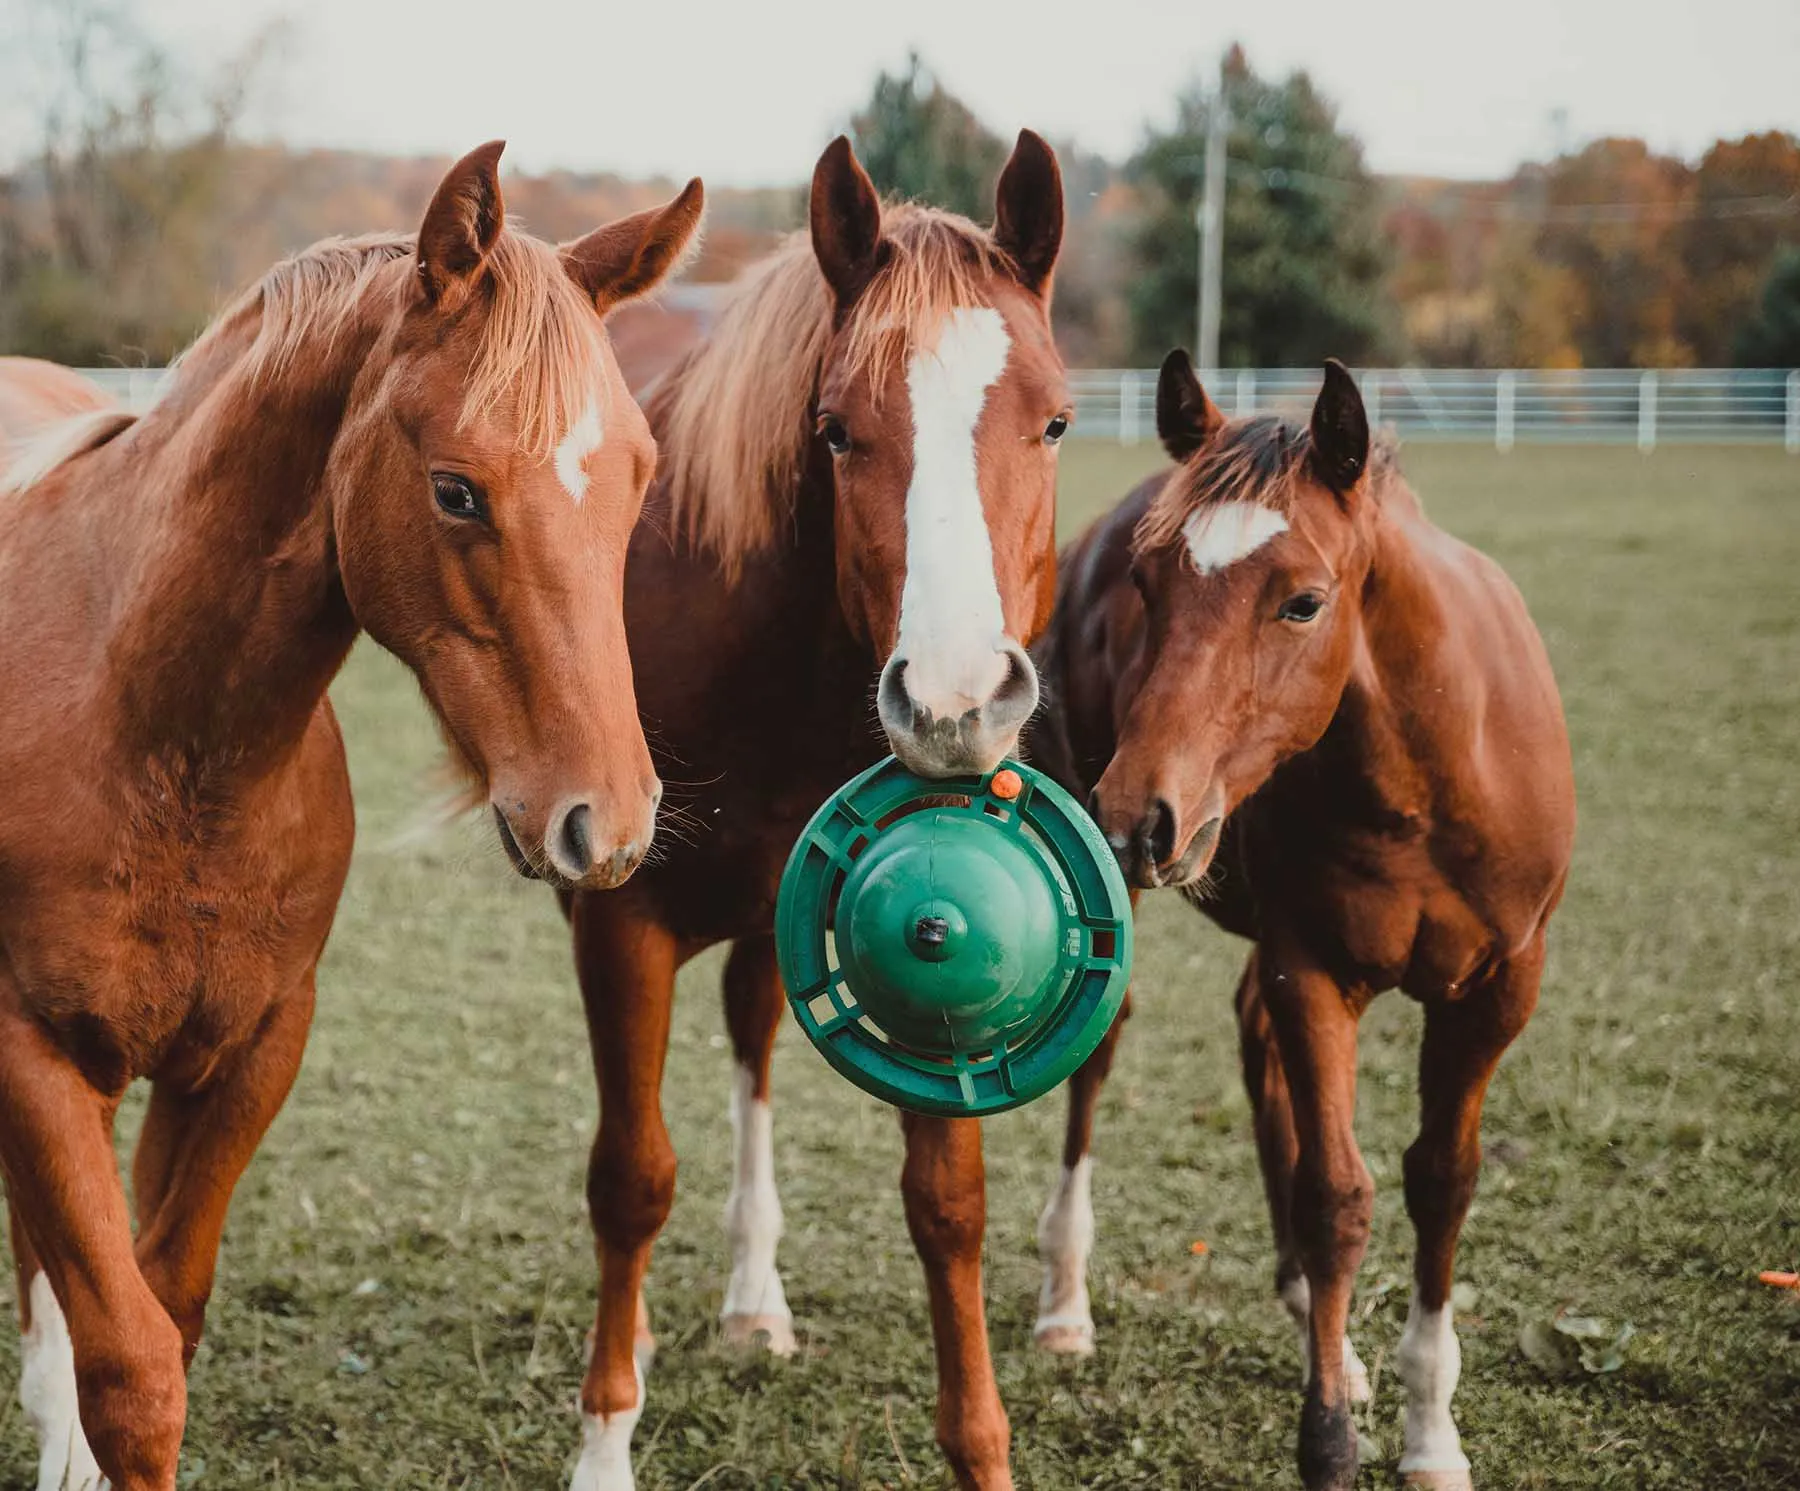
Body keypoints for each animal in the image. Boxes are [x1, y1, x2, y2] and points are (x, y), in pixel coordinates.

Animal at [0, 142, 702, 1491]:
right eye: (457, 492)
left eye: (641, 477)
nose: (611, 824)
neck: (156, 741)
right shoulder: (29, 1054)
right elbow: (133, 1372)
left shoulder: (246, 1053)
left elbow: (166, 1308)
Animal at [561, 131, 1065, 1491]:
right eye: (836, 433)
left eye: (1055, 423)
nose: (955, 703)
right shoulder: (618, 926)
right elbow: (632, 1179)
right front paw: (603, 1443)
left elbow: (948, 1206)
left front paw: (983, 1448)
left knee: (753, 1045)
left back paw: (753, 1301)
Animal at [1029, 352, 1576, 1491]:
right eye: (1148, 585)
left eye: (1304, 602)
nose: (1136, 814)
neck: (1430, 775)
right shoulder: (1315, 971)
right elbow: (1339, 1196)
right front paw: (1327, 1438)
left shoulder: (1499, 991)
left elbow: (1441, 1180)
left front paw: (1430, 1433)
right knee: (1103, 1057)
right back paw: (1064, 1302)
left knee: (1254, 1048)